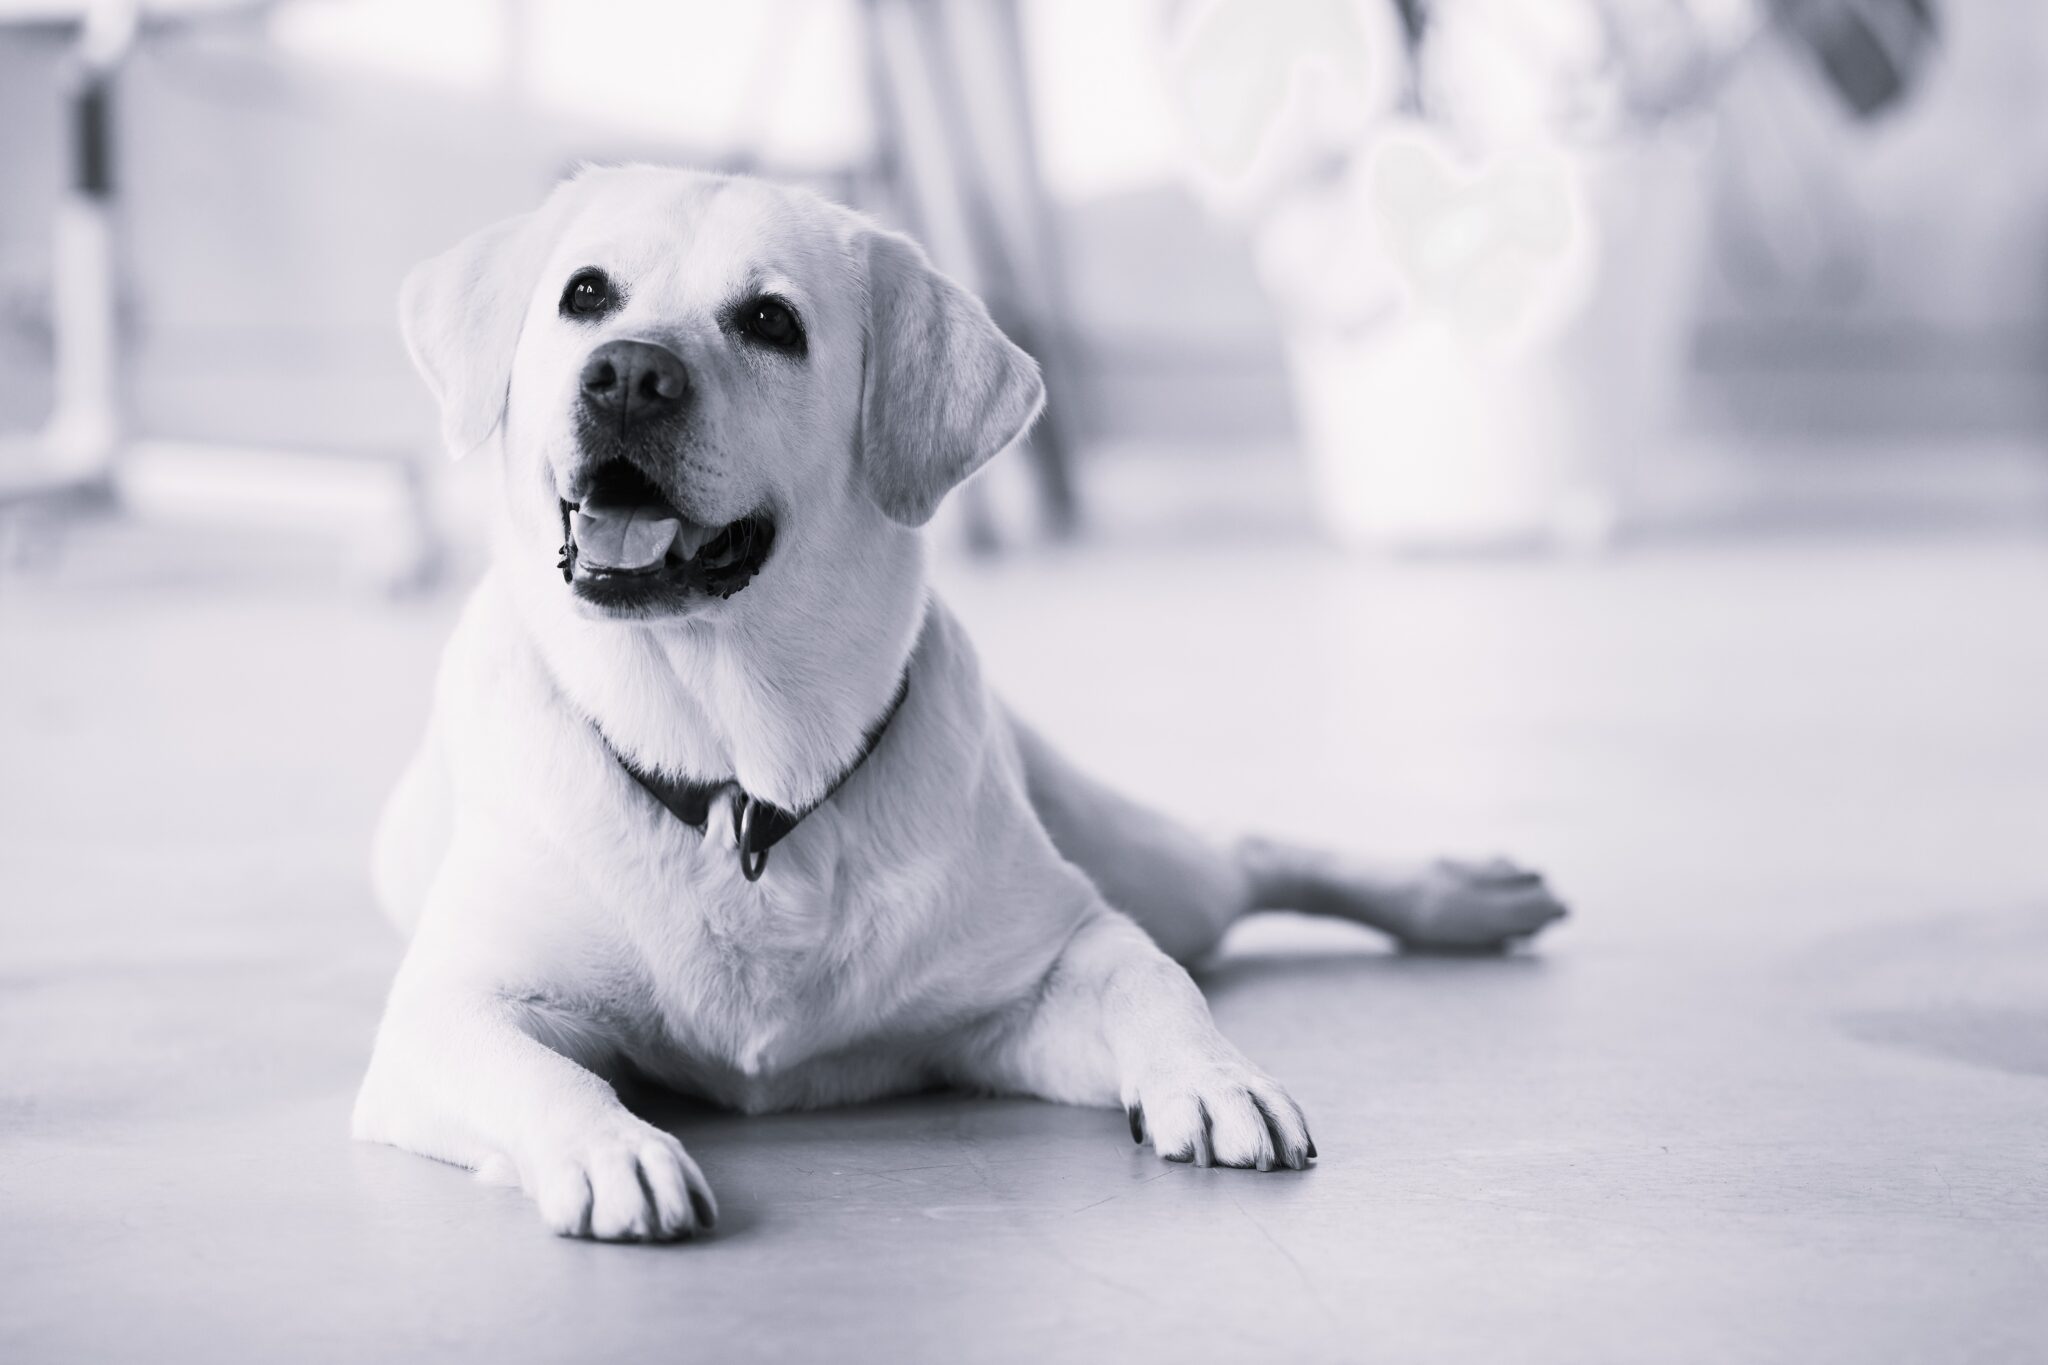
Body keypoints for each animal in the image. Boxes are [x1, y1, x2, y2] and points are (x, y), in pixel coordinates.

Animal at [356, 165, 1564, 1244]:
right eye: (585, 294)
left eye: (770, 321)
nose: (625, 375)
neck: (744, 782)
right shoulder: (444, 1018)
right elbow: (545, 1076)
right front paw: (613, 1149)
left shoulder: (1040, 967)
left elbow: (1152, 980)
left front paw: (1219, 1077)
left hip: (1154, 868)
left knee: (1242, 854)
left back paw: (1463, 894)